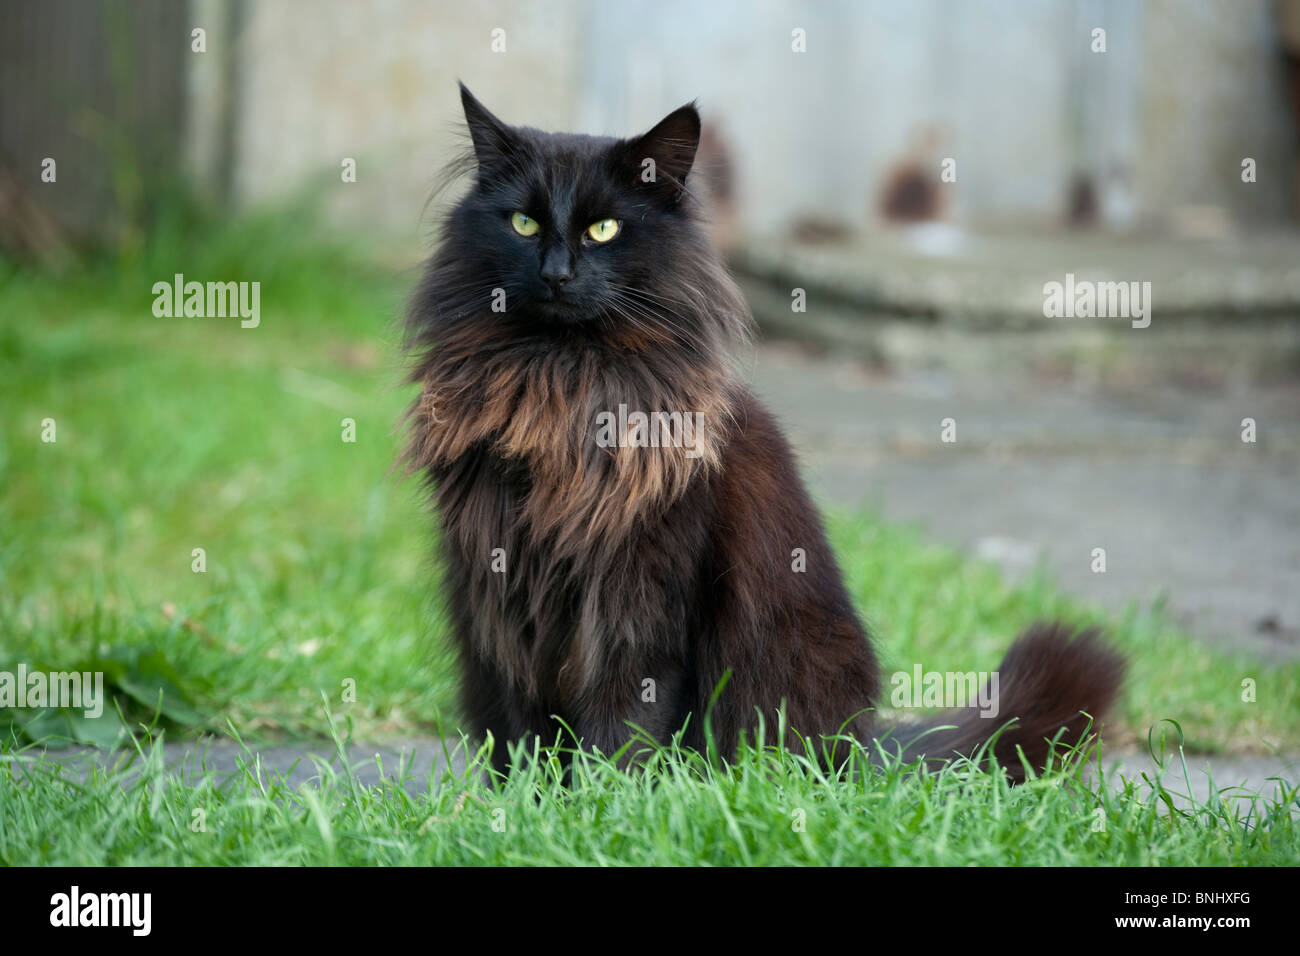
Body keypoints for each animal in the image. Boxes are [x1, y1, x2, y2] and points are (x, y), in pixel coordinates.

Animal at [400, 85, 1123, 780]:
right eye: (523, 223)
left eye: (604, 229)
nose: (555, 273)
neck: (560, 385)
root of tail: (864, 747)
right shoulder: (501, 595)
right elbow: (527, 729)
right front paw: (531, 800)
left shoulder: (643, 589)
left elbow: (623, 721)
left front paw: (605, 799)